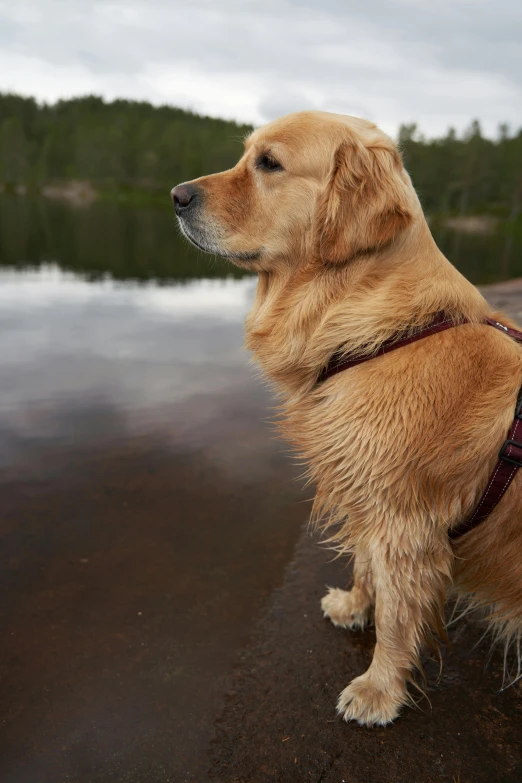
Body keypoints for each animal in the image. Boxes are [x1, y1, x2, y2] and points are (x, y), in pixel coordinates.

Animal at [170, 112, 520, 728]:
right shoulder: (364, 492)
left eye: (269, 164)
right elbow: (365, 565)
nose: (175, 196)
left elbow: (398, 618)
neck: (380, 332)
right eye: (246, 155)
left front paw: (379, 690)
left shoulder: (405, 522)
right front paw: (355, 605)